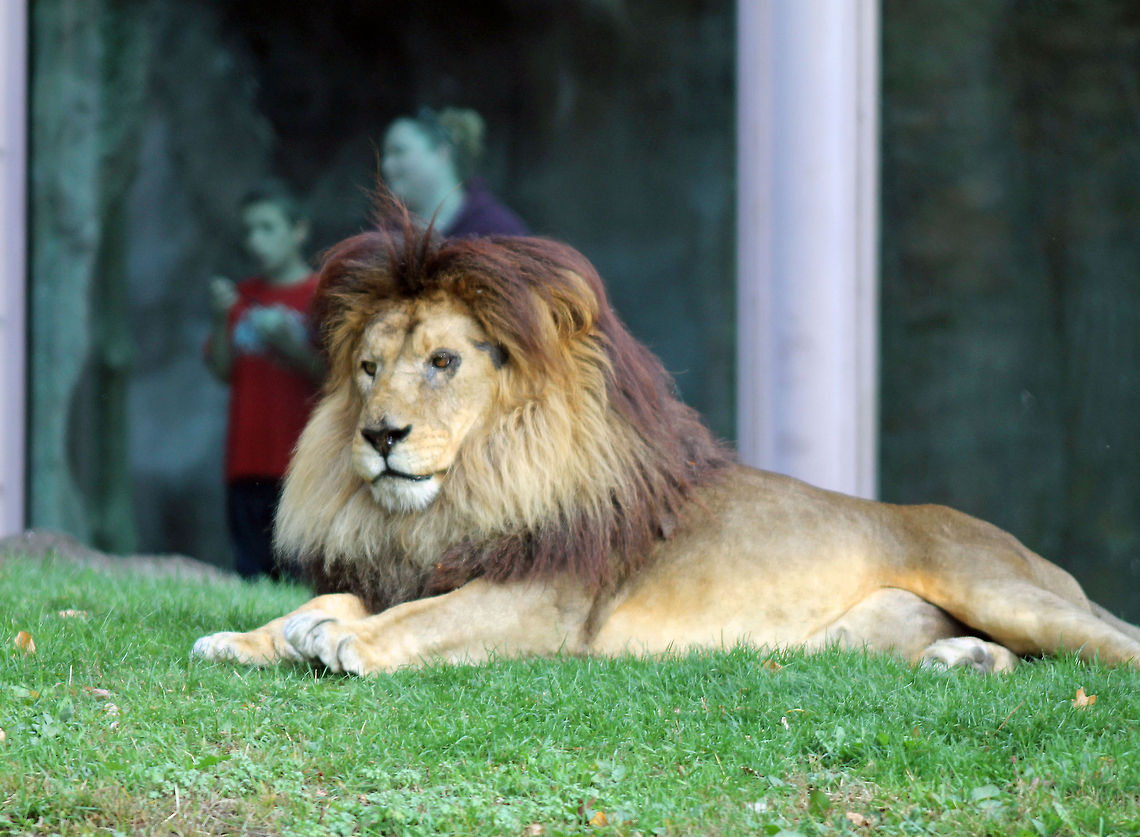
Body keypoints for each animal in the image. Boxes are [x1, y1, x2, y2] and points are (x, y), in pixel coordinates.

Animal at [192, 209, 1140, 676]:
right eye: (367, 367)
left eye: (443, 362)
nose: (381, 434)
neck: (460, 491)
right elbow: (330, 600)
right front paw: (249, 638)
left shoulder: (545, 602)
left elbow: (427, 616)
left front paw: (348, 642)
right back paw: (961, 659)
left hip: (997, 583)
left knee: (1107, 644)